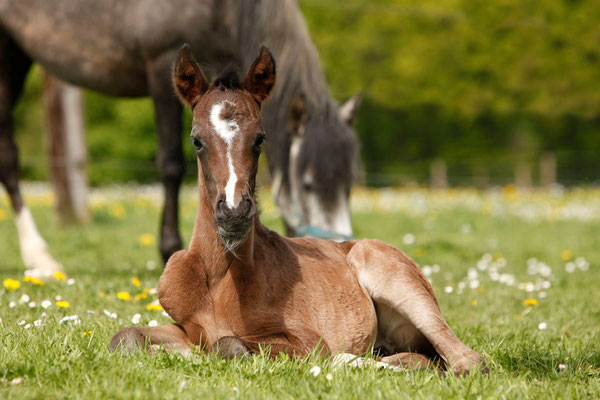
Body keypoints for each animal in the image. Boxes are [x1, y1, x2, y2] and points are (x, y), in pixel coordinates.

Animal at [0, 0, 358, 276]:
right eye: (308, 184)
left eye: (348, 186)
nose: (338, 248)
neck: (224, 9)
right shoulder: (162, 65)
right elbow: (171, 164)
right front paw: (169, 249)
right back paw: (40, 257)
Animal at [109, 45, 488, 376]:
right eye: (196, 141)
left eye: (260, 139)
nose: (234, 211)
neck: (219, 279)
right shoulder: (186, 328)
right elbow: (125, 336)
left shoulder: (305, 339)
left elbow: (229, 344)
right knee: (419, 358)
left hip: (395, 279)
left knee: (466, 360)